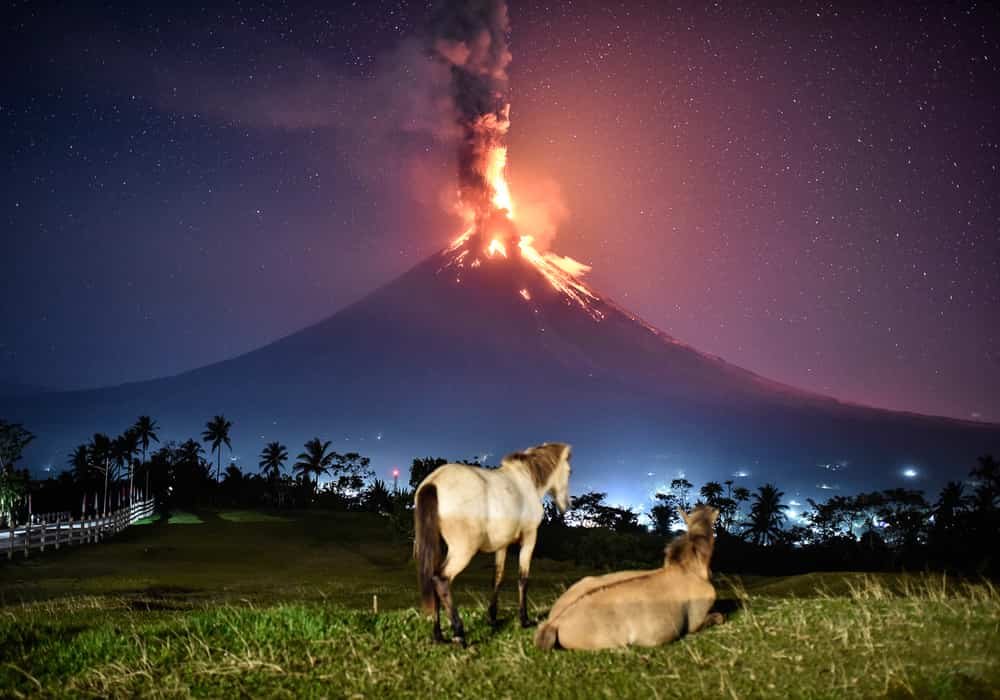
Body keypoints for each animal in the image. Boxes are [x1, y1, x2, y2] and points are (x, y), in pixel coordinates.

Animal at [412, 442, 572, 644]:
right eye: (569, 471)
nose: (566, 505)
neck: (525, 478)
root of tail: (433, 482)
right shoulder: (529, 537)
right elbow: (523, 578)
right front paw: (524, 620)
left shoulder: (502, 545)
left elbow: (498, 577)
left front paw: (492, 617)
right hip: (463, 551)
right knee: (441, 580)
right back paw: (459, 633)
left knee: (432, 580)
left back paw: (438, 635)